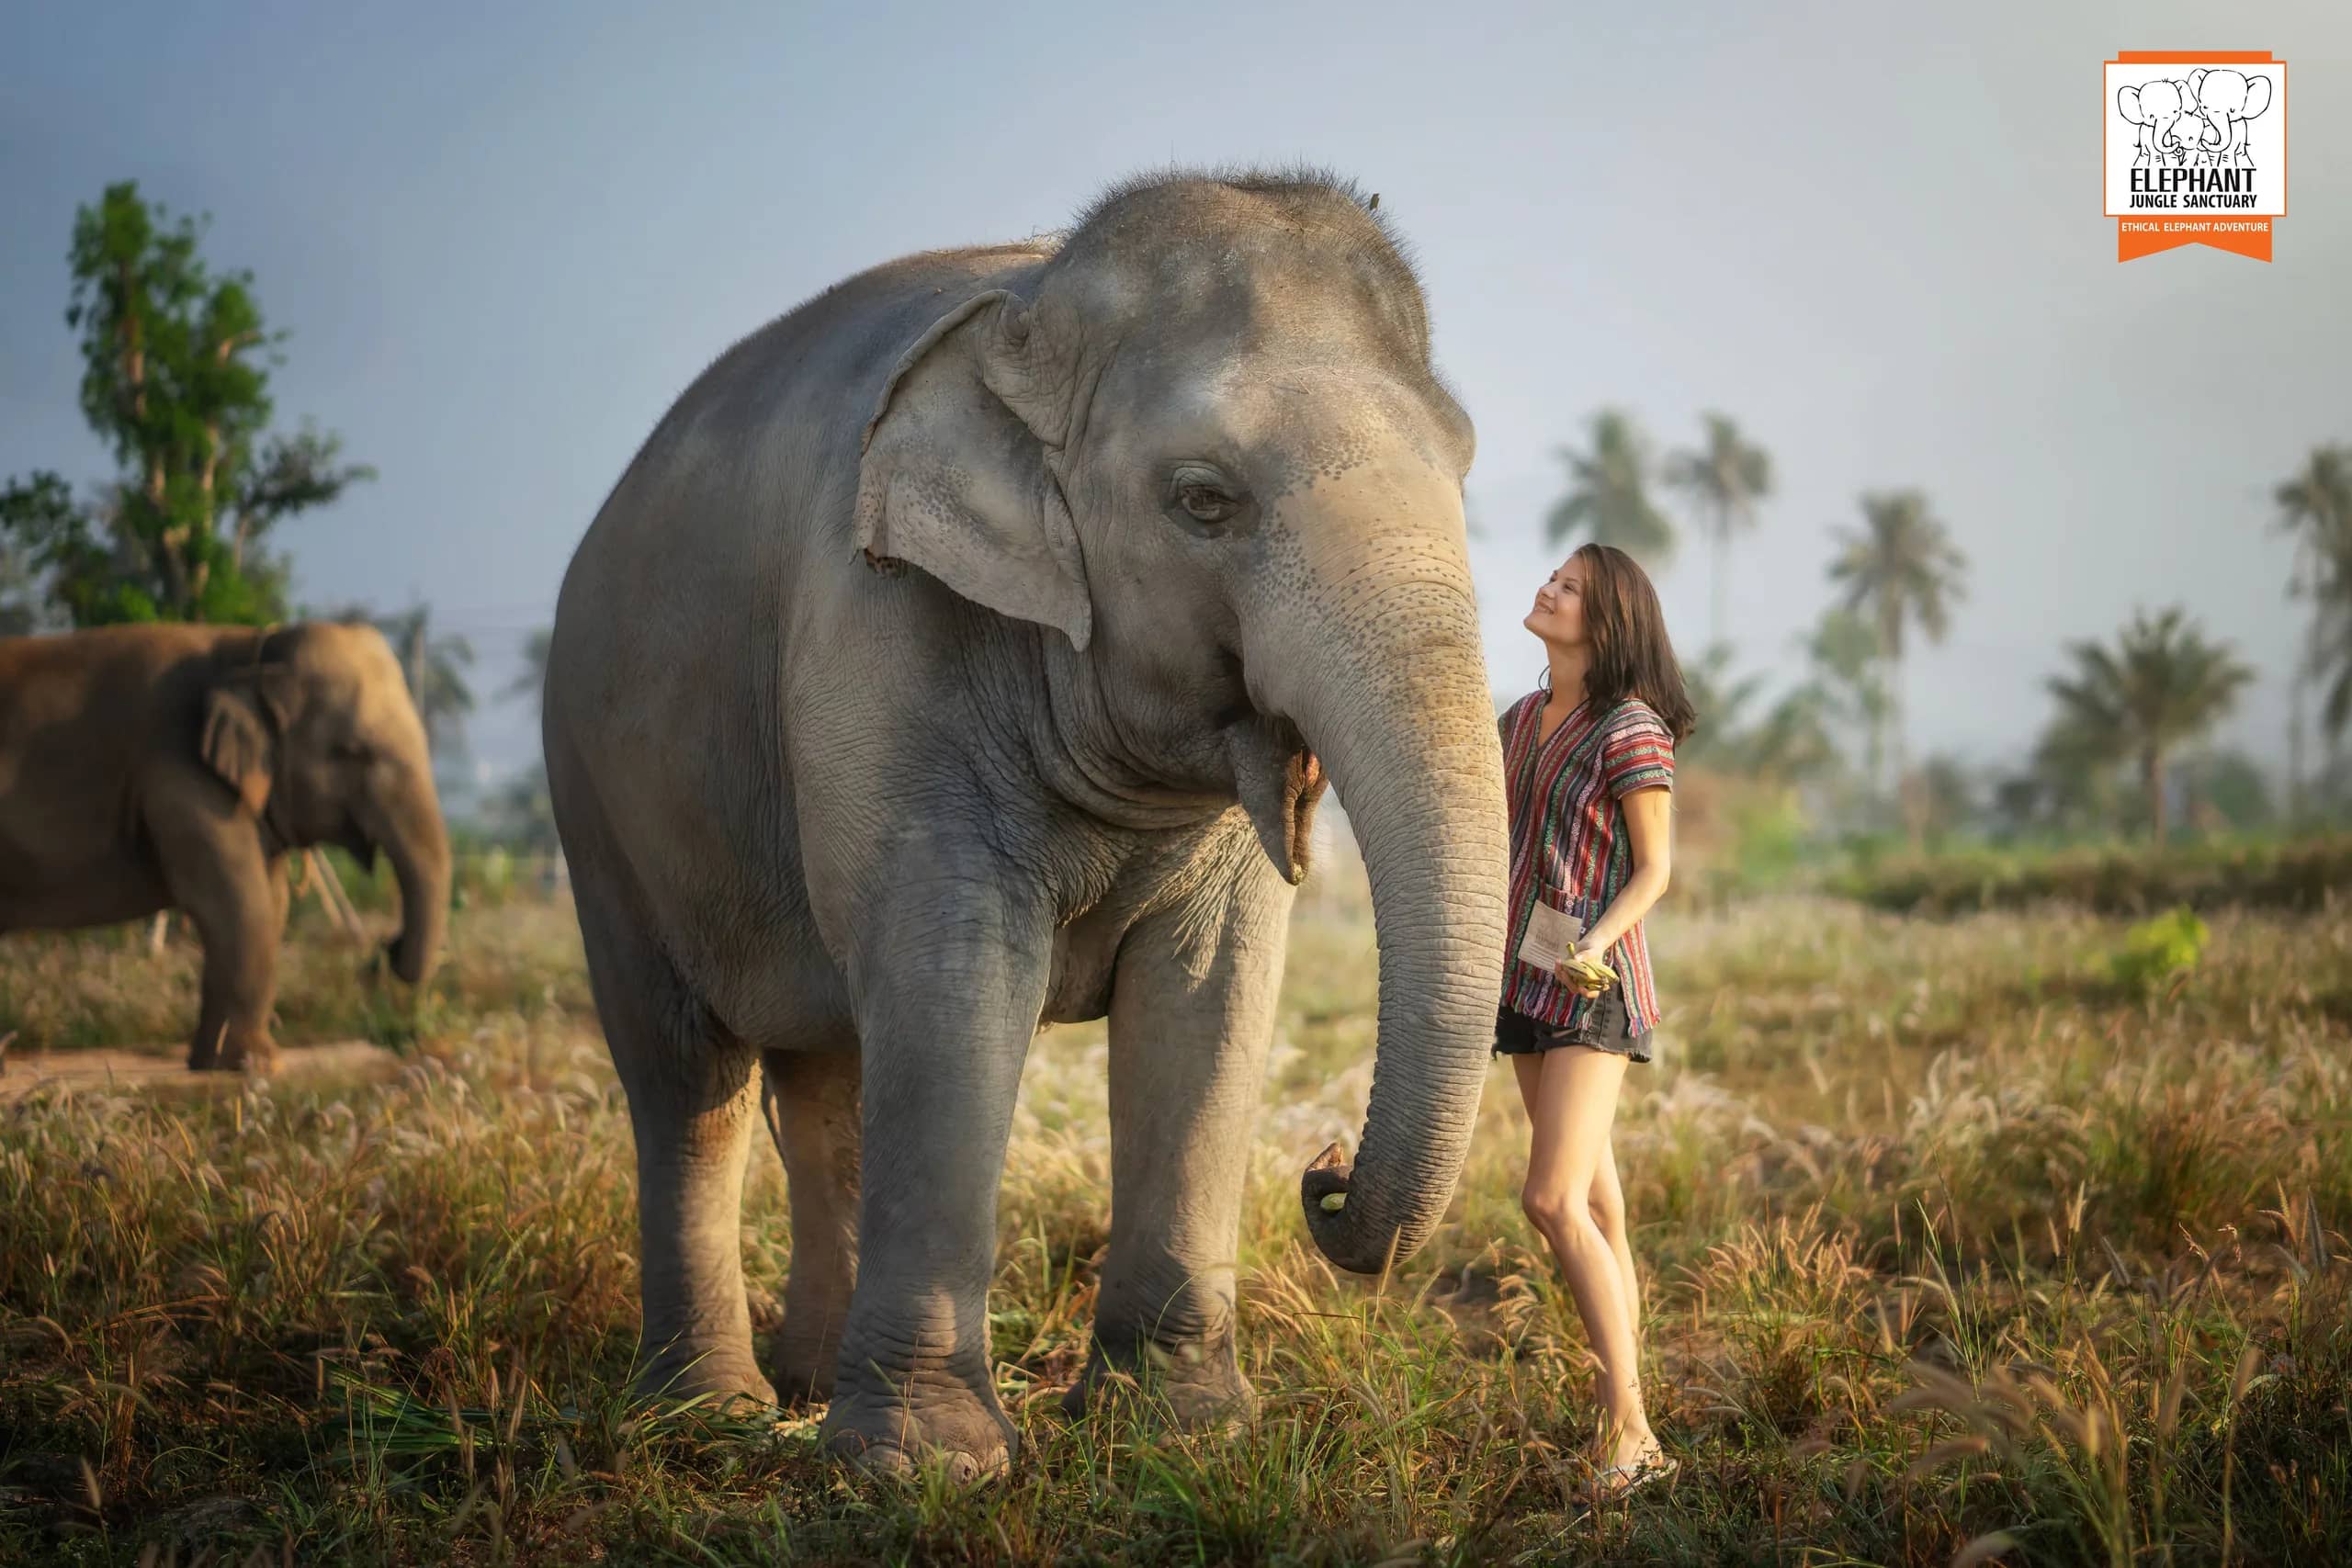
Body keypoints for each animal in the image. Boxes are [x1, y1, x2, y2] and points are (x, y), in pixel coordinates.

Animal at [0, 621, 452, 1070]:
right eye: (351, 751)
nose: (385, 950)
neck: (252, 650)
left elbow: (272, 900)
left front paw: (216, 1064)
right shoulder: (180, 778)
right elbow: (237, 902)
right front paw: (254, 1063)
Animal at [542, 168, 1508, 1478]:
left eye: (1461, 471)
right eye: (1202, 501)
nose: (1323, 1173)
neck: (1035, 308)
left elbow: (1208, 996)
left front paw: (1184, 1431)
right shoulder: (881, 634)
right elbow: (955, 978)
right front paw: (927, 1470)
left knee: (828, 1074)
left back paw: (807, 1384)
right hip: (597, 804)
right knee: (686, 1078)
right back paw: (710, 1414)